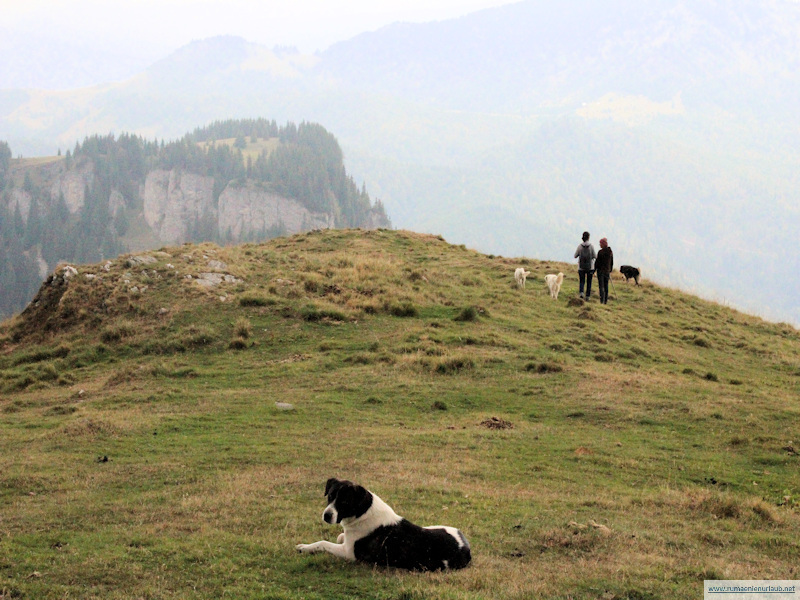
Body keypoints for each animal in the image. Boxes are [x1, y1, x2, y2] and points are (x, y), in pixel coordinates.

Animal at [296, 478, 472, 572]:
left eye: (344, 502)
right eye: (330, 496)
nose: (326, 515)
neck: (363, 512)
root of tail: (466, 549)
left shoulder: (349, 554)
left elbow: (323, 543)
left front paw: (304, 547)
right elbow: (340, 536)